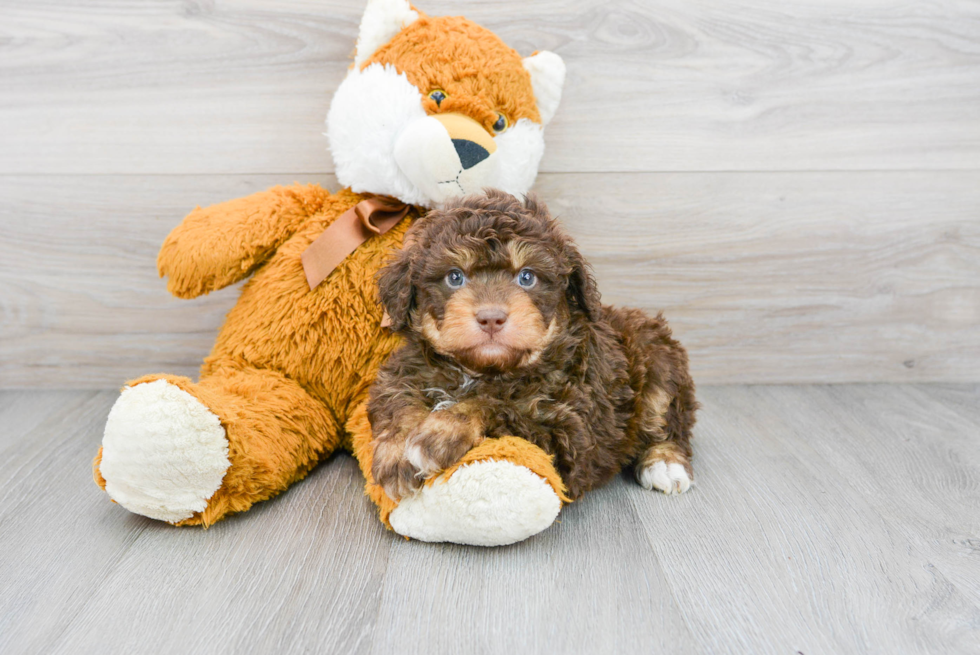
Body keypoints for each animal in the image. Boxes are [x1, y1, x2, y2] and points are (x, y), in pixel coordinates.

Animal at [368, 190, 696, 502]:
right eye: (454, 277)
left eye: (527, 277)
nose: (491, 318)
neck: (483, 371)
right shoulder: (401, 373)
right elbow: (398, 400)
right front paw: (396, 452)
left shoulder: (568, 434)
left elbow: (497, 406)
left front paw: (440, 433)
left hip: (660, 365)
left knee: (670, 422)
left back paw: (665, 463)